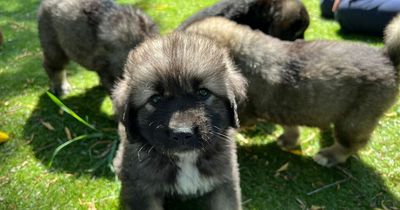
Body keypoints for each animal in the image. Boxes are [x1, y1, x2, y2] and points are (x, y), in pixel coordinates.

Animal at [111, 32, 245, 210]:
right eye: (155, 99)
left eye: (203, 92)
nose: (182, 133)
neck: (186, 159)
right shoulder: (142, 192)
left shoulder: (225, 183)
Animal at [186, 16, 400, 167]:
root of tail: (386, 59)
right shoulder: (286, 107)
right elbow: (290, 125)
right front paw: (289, 141)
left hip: (354, 120)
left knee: (351, 144)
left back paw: (329, 156)